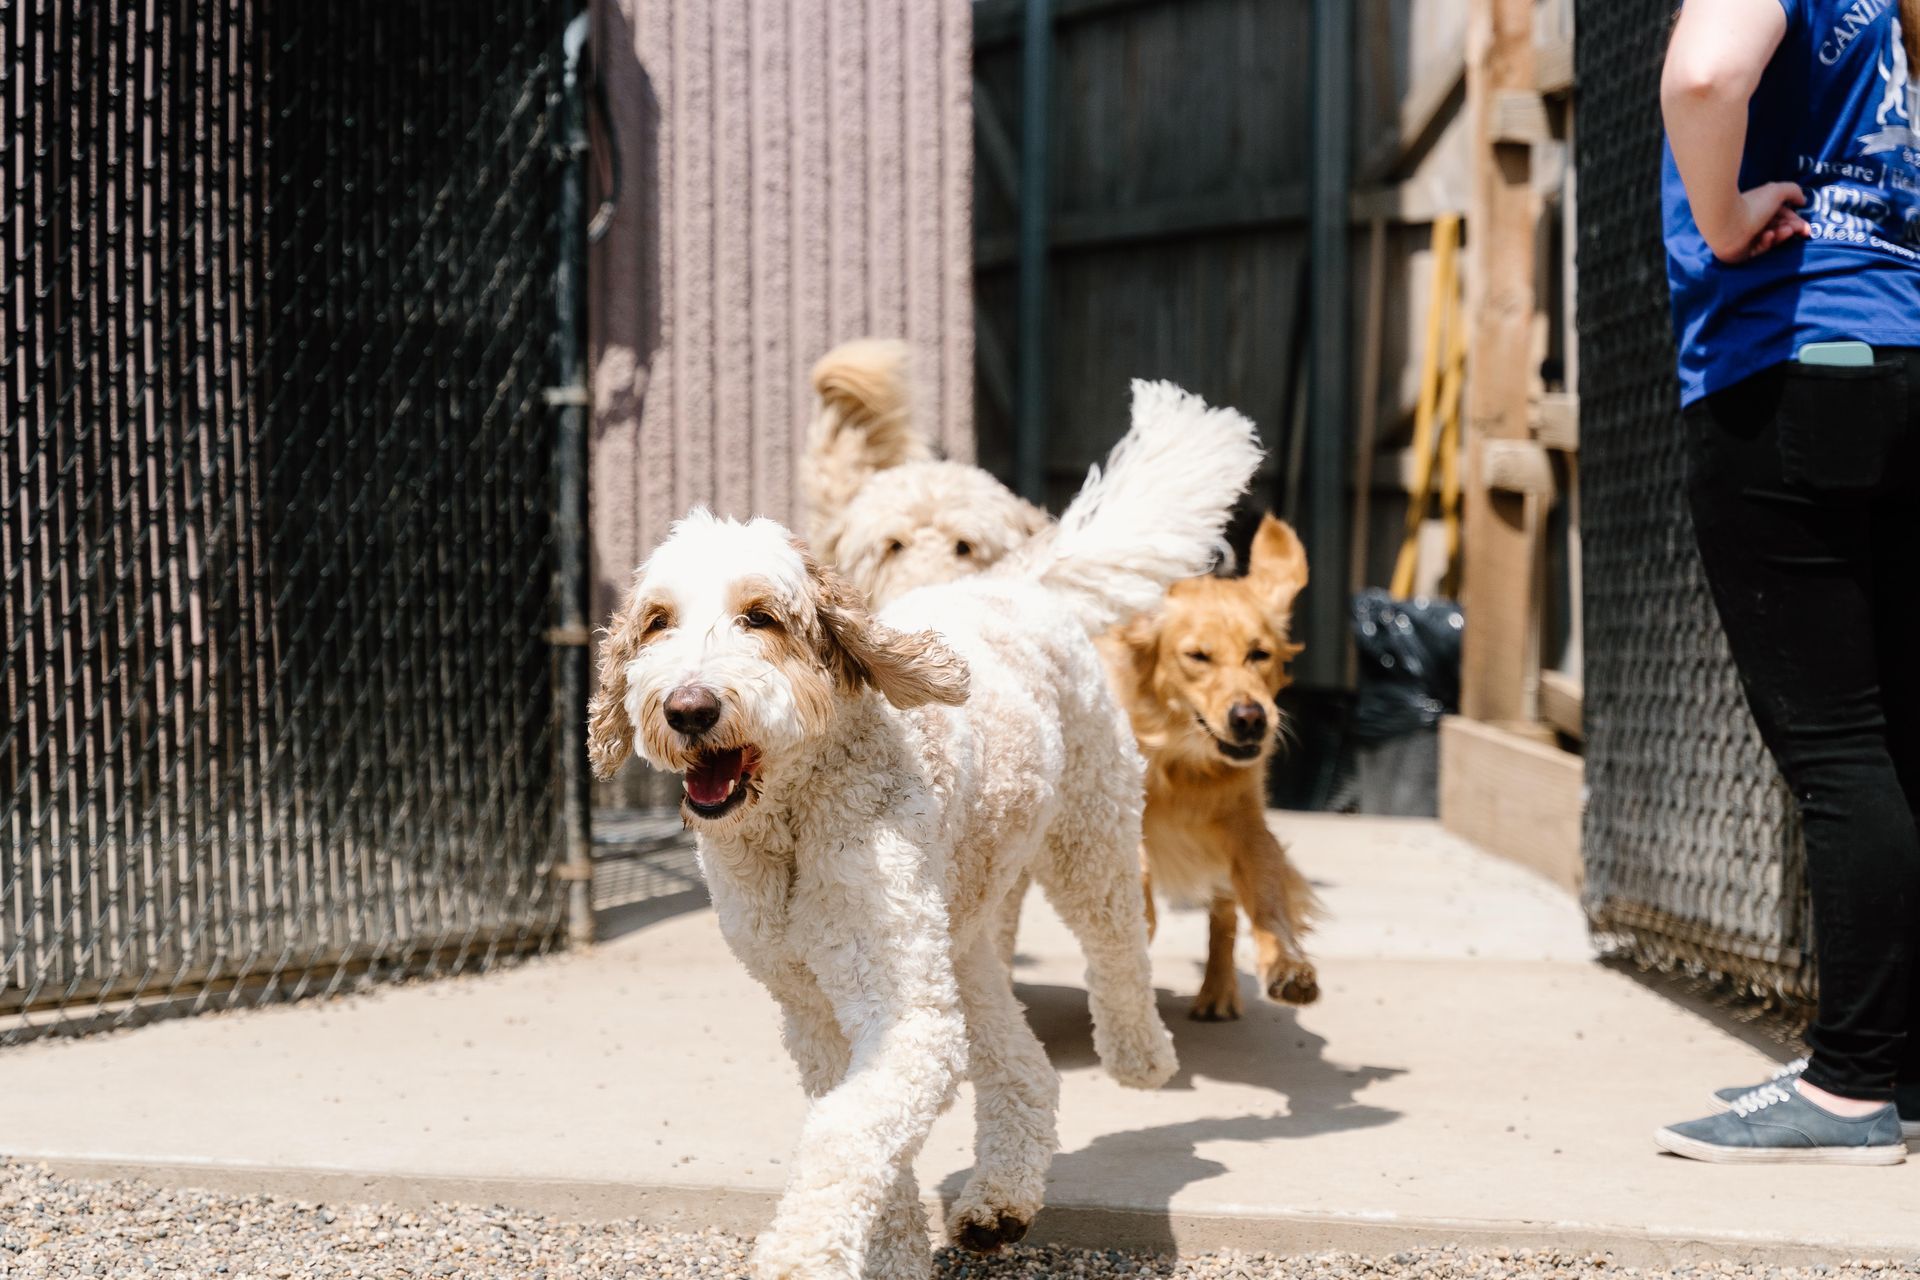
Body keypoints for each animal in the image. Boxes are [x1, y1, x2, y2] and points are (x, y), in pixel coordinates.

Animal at [591, 383, 1267, 1280]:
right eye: (657, 622)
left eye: (762, 617)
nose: (689, 708)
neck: (793, 828)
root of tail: (1015, 580)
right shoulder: (815, 1011)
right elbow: (869, 1141)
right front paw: (894, 1252)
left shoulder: (904, 1016)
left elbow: (844, 1135)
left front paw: (801, 1254)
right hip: (959, 936)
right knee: (1022, 1064)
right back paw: (1000, 1202)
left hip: (1090, 837)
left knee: (1118, 947)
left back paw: (1141, 1058)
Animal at [1098, 514, 1320, 1028]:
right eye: (1198, 656)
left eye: (1259, 654)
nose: (1251, 717)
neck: (1182, 761)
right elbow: (1137, 867)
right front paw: (1141, 918)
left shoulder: (1247, 825)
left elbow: (1266, 897)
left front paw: (1287, 964)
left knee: (1224, 914)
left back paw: (1217, 992)